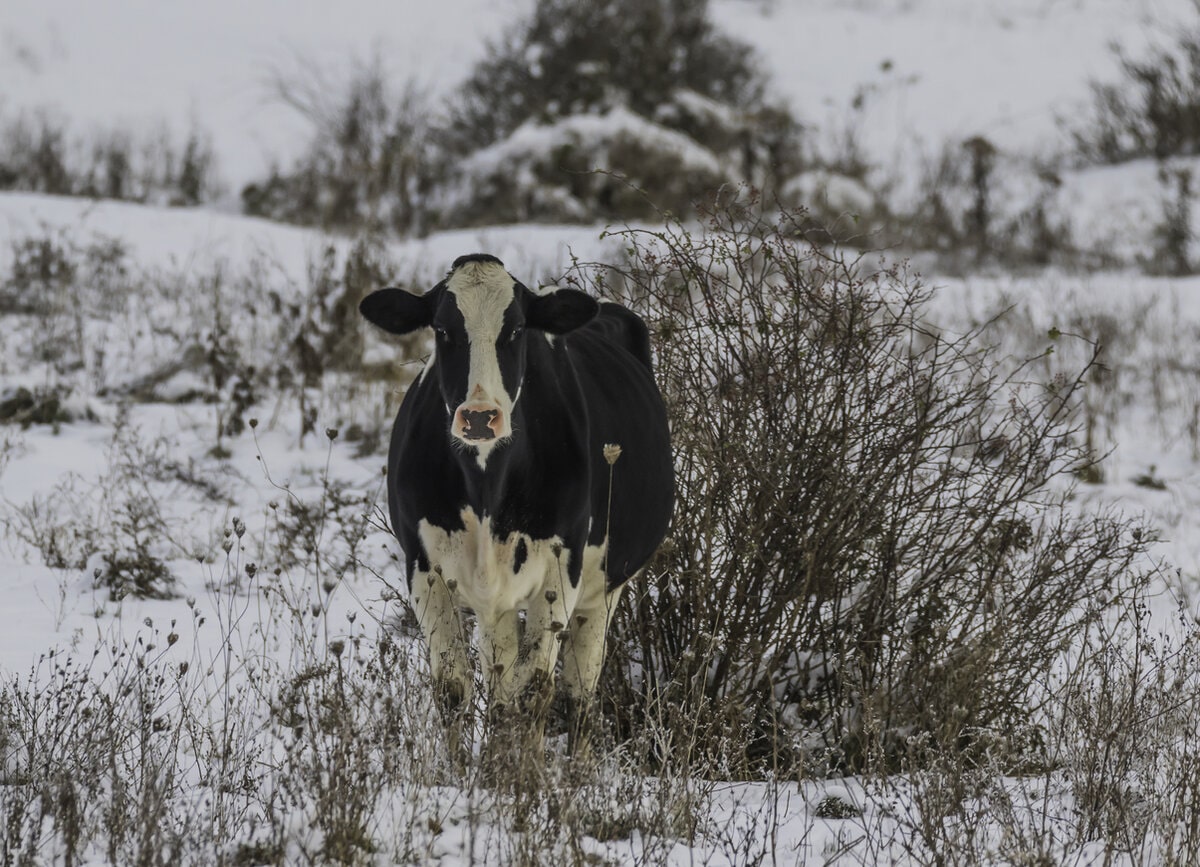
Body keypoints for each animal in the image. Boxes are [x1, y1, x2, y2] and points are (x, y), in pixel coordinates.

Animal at [360, 253, 673, 745]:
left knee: (578, 694)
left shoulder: (560, 571)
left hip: (603, 590)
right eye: (443, 329)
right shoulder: (423, 569)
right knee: (502, 685)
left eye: (517, 329)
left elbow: (533, 690)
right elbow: (456, 691)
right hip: (500, 603)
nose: (479, 417)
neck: (486, 488)